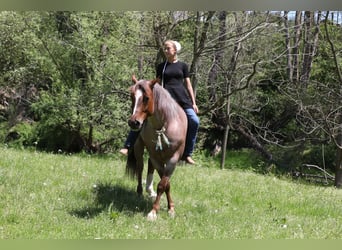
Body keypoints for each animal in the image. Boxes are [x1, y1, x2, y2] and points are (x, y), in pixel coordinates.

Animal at [126, 75, 187, 220]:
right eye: (132, 96)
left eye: (146, 97)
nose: (133, 122)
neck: (163, 125)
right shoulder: (156, 158)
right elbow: (164, 184)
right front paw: (154, 211)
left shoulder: (173, 159)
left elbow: (164, 184)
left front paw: (170, 209)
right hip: (139, 148)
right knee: (140, 168)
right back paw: (140, 192)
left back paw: (150, 191)